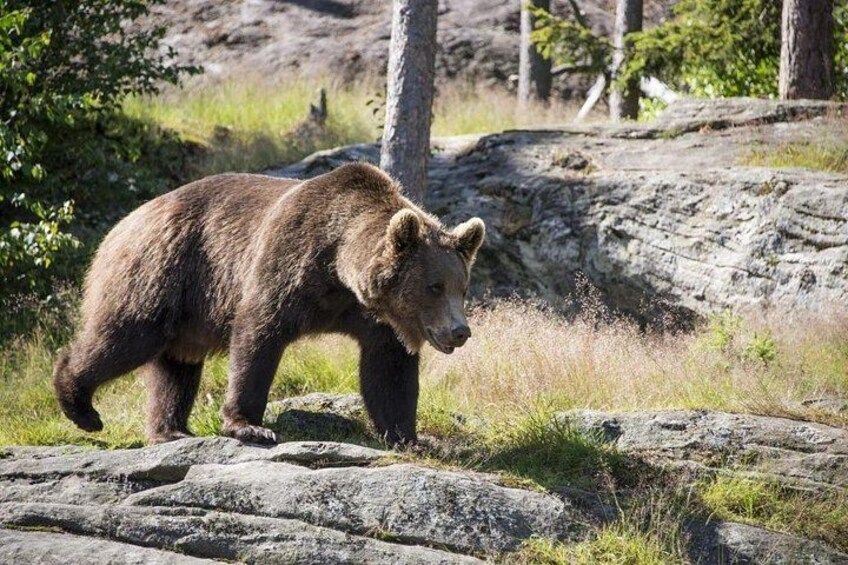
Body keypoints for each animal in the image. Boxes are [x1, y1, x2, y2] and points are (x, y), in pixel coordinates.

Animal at [53, 162, 485, 445]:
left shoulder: (373, 317)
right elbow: (258, 335)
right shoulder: (287, 263)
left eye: (462, 287)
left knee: (177, 365)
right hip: (162, 271)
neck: (338, 269)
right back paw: (81, 406)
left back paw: (170, 429)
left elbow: (389, 370)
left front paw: (408, 436)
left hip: (186, 310)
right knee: (127, 336)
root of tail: (125, 221)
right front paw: (249, 424)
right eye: (434, 286)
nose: (459, 331)